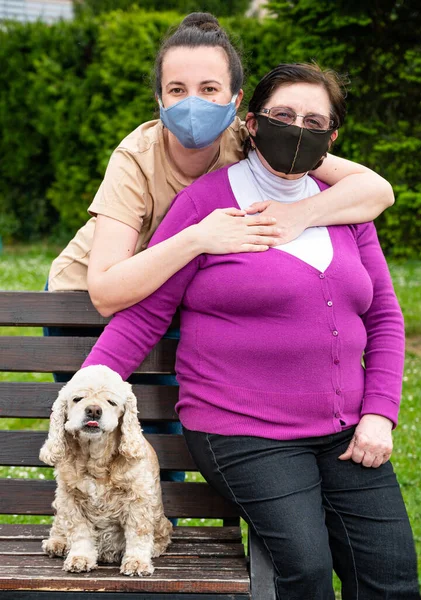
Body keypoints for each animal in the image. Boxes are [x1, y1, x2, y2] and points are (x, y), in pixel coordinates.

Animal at [38, 366, 172, 576]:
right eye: (77, 399)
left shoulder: (138, 498)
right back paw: (57, 543)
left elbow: (138, 533)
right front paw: (80, 558)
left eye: (111, 402)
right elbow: (79, 532)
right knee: (59, 525)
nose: (93, 410)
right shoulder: (69, 497)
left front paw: (137, 563)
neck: (95, 458)